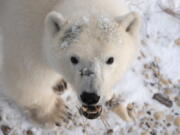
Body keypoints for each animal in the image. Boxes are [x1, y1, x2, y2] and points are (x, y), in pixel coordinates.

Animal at [0, 0, 141, 124]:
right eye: (74, 59)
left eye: (110, 59)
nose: (90, 97)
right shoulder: (24, 34)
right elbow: (25, 79)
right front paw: (58, 113)